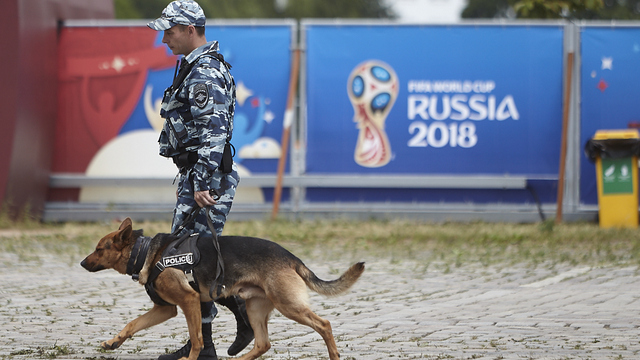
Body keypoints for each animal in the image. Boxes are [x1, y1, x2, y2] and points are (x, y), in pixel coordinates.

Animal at [80, 217, 364, 360]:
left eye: (99, 249)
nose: (82, 263)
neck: (147, 252)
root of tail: (292, 257)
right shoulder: (166, 309)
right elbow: (132, 324)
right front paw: (113, 342)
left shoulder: (189, 301)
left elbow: (196, 339)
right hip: (255, 308)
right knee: (263, 343)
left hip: (288, 305)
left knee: (324, 324)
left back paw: (334, 355)